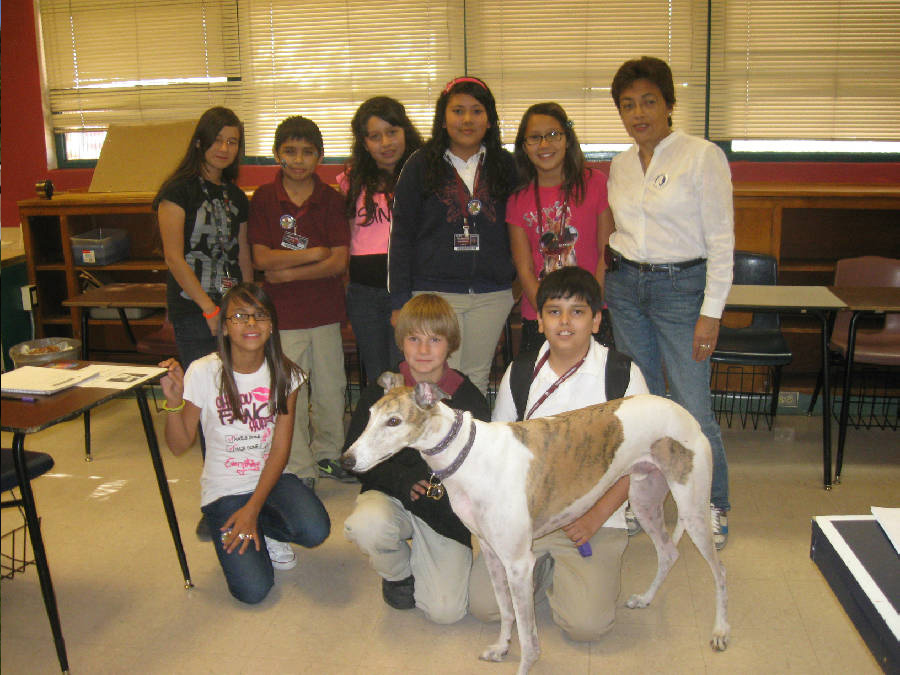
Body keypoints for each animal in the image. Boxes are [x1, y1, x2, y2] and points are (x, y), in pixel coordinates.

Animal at [342, 372, 728, 672]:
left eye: (394, 421)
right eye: (371, 414)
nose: (347, 460)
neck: (469, 455)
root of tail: (684, 411)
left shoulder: (519, 563)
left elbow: (529, 637)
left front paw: (524, 665)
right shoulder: (495, 556)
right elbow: (505, 611)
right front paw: (501, 648)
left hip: (692, 508)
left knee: (718, 572)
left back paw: (721, 631)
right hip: (646, 498)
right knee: (668, 553)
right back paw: (645, 599)